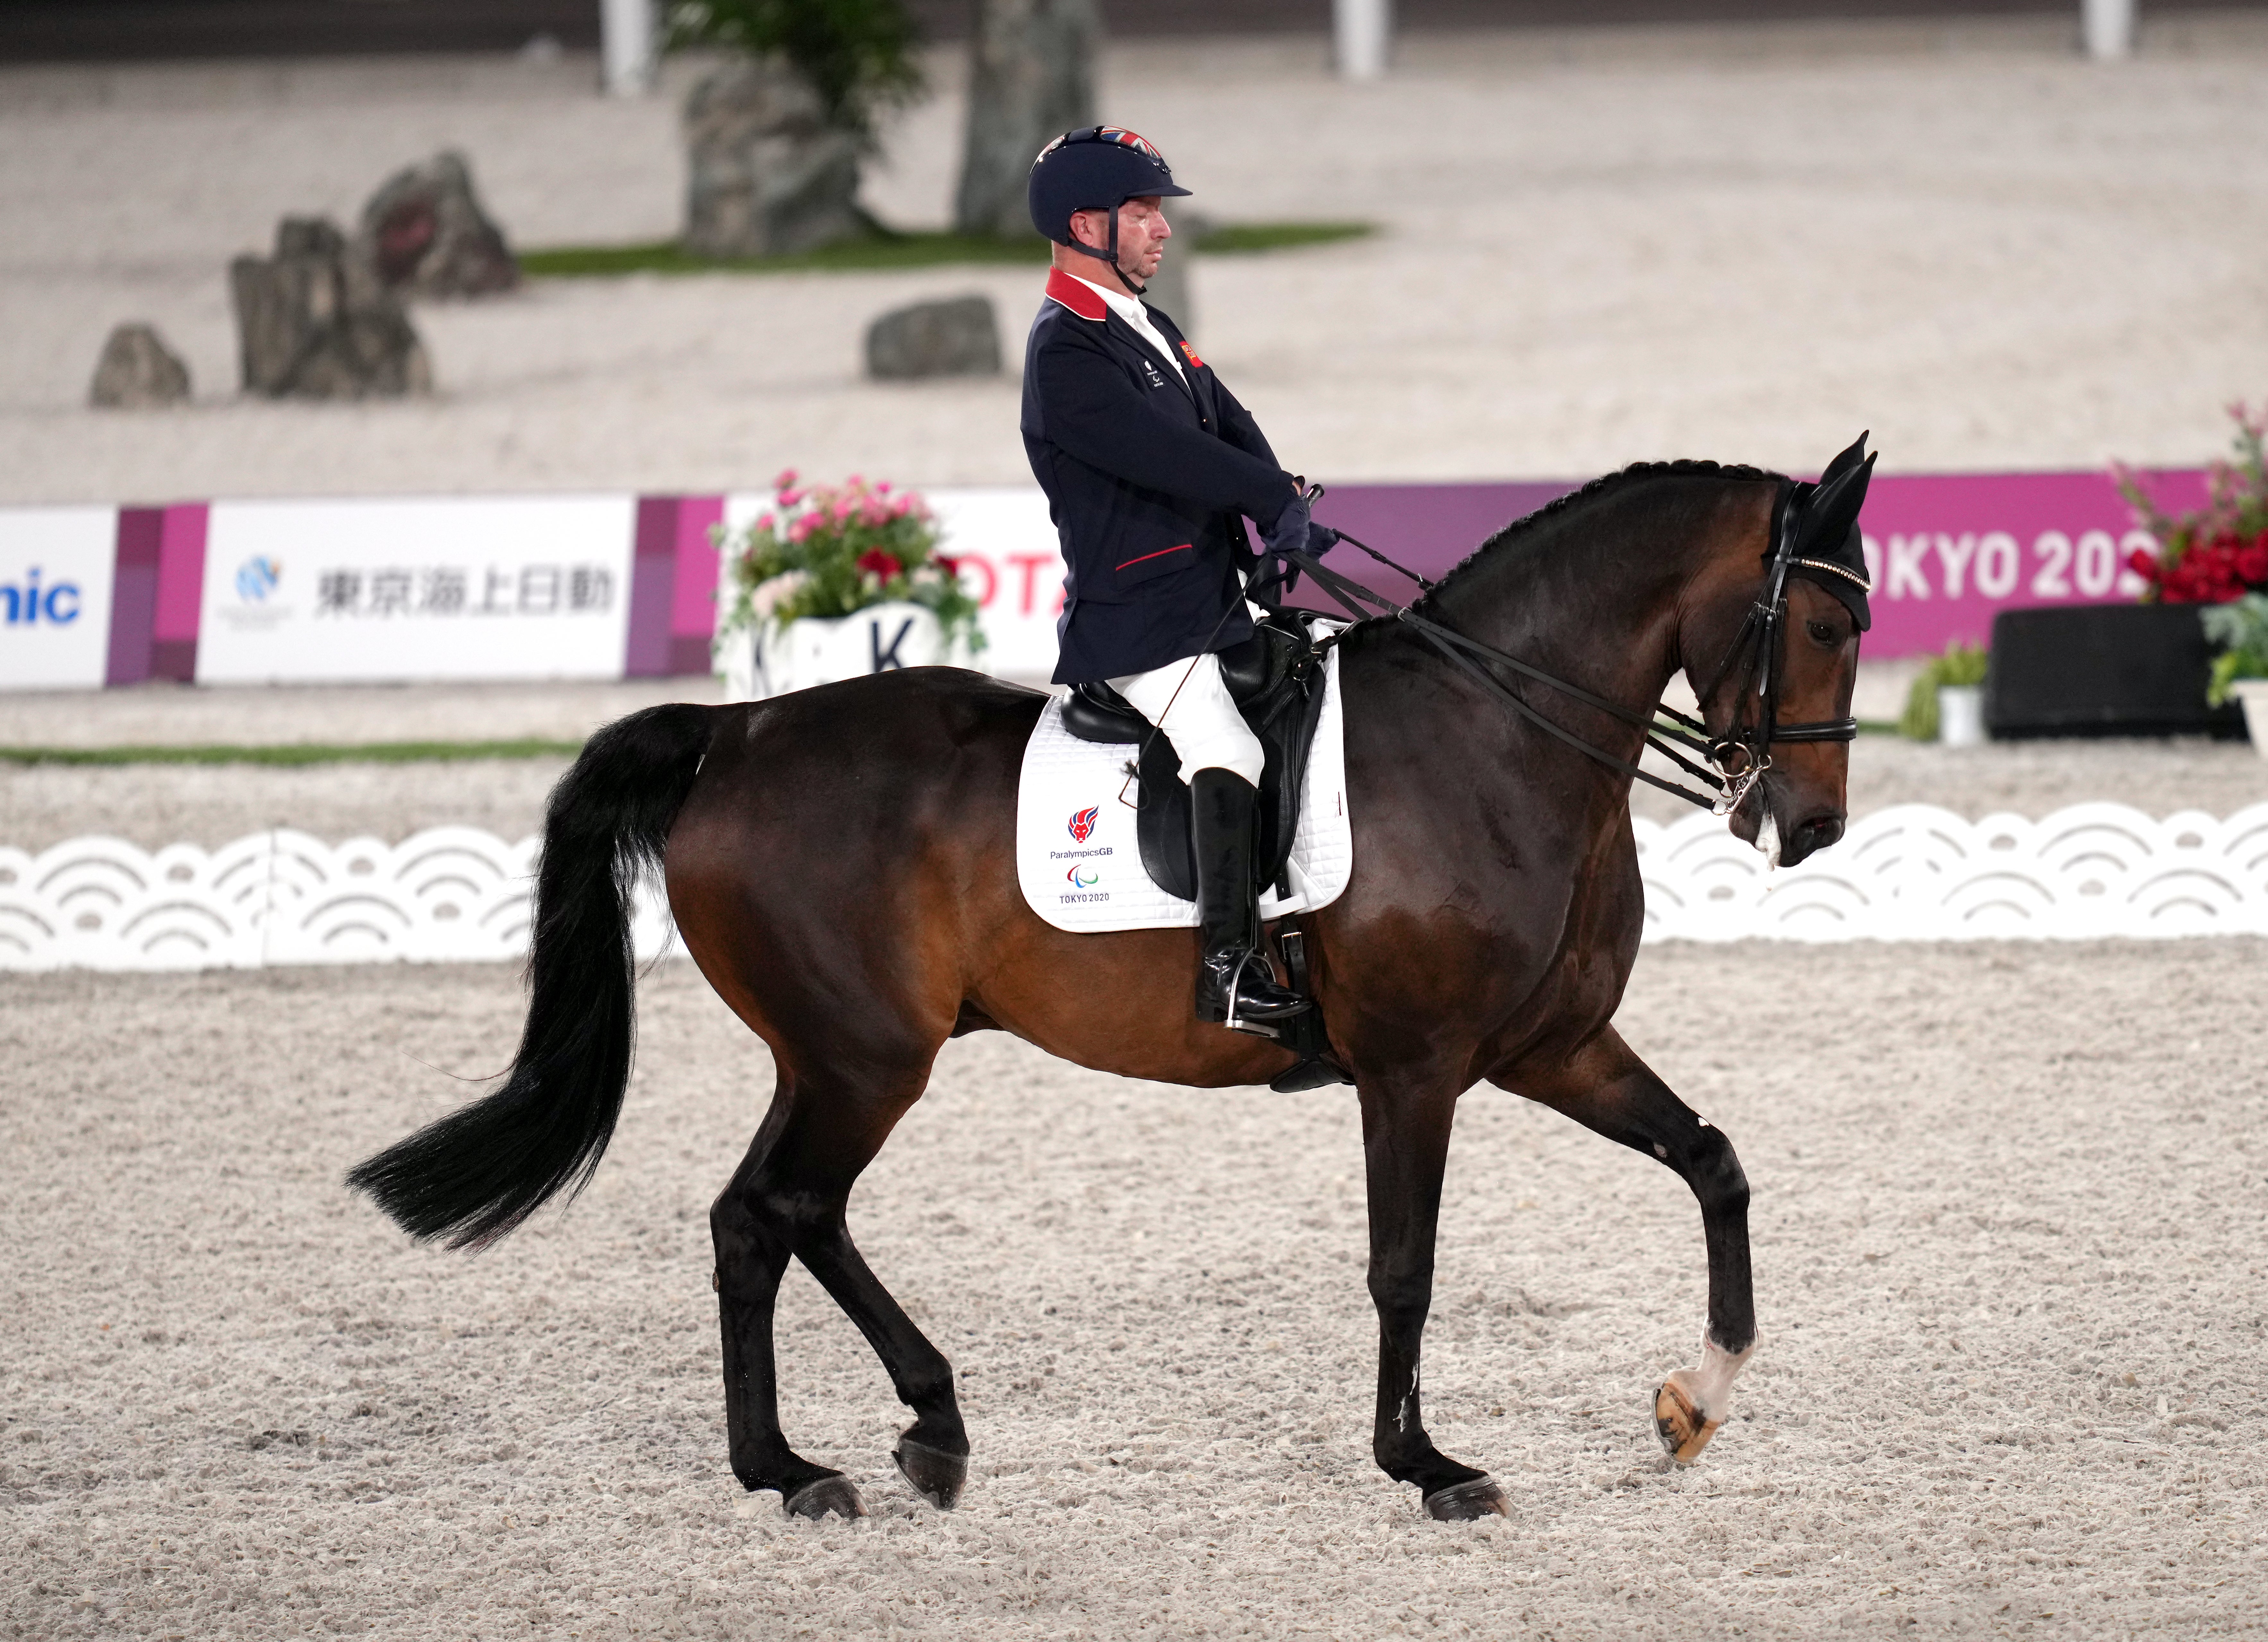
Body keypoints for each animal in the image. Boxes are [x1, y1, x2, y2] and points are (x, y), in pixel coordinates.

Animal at [349, 456, 1859, 1524]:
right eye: (1820, 618)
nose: (1811, 826)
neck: (1497, 734)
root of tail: (737, 733)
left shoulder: (1554, 1044)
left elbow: (1713, 1163)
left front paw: (1695, 1398)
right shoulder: (1413, 1068)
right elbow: (1404, 1266)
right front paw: (1424, 1463)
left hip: (837, 1057)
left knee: (781, 1216)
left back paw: (900, 1434)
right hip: (862, 1058)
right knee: (766, 1214)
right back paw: (799, 1465)